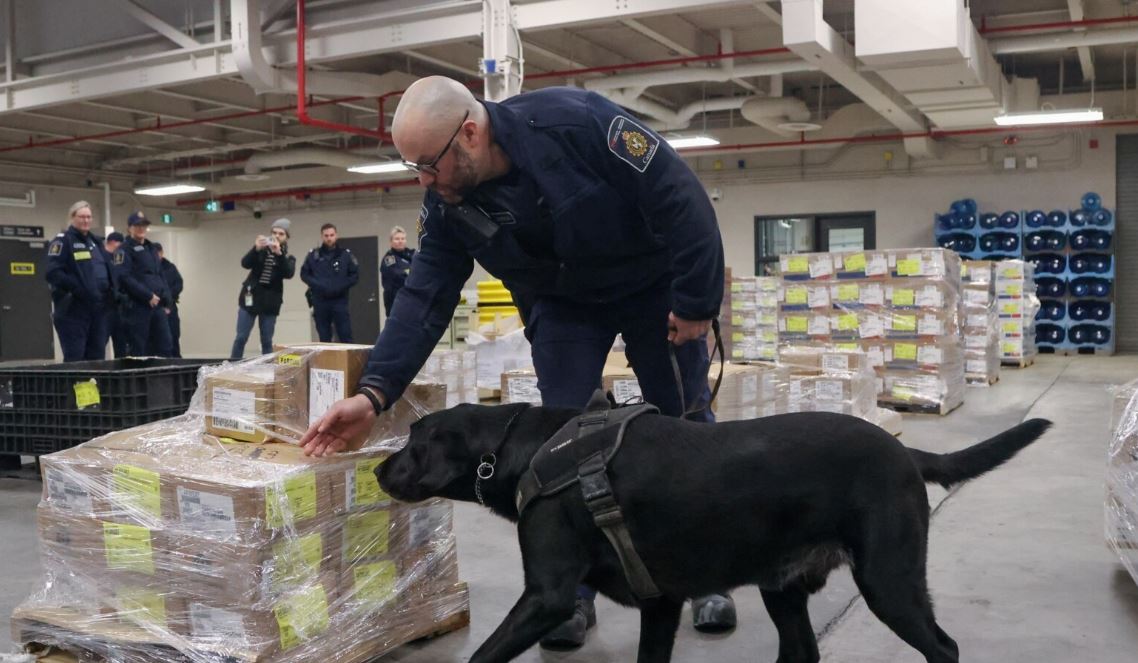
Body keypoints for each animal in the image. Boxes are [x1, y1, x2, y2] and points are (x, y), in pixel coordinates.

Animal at [377, 402, 1051, 663]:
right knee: (802, 651)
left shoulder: (544, 596)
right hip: (784, 589)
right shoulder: (660, 602)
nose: (379, 469)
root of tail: (906, 452)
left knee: (944, 647)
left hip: (889, 581)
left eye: (410, 441)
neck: (526, 448)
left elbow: (483, 653)